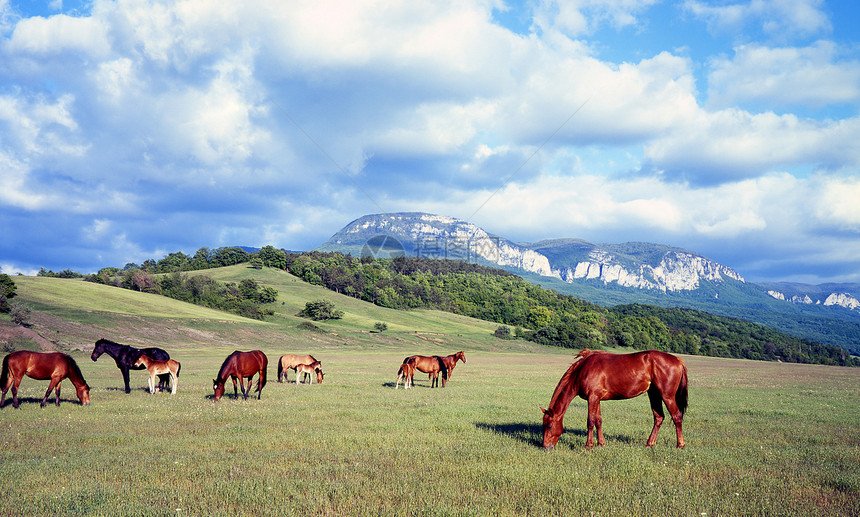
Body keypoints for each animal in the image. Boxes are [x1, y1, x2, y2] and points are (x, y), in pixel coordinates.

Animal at [540, 348, 688, 450]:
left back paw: (680, 445)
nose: (545, 447)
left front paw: (588, 446)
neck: (582, 370)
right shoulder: (596, 399)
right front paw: (601, 443)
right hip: (654, 395)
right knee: (659, 417)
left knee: (676, 416)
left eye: (549, 426)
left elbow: (590, 421)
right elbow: (598, 421)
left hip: (667, 396)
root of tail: (678, 360)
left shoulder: (592, 398)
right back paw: (649, 444)